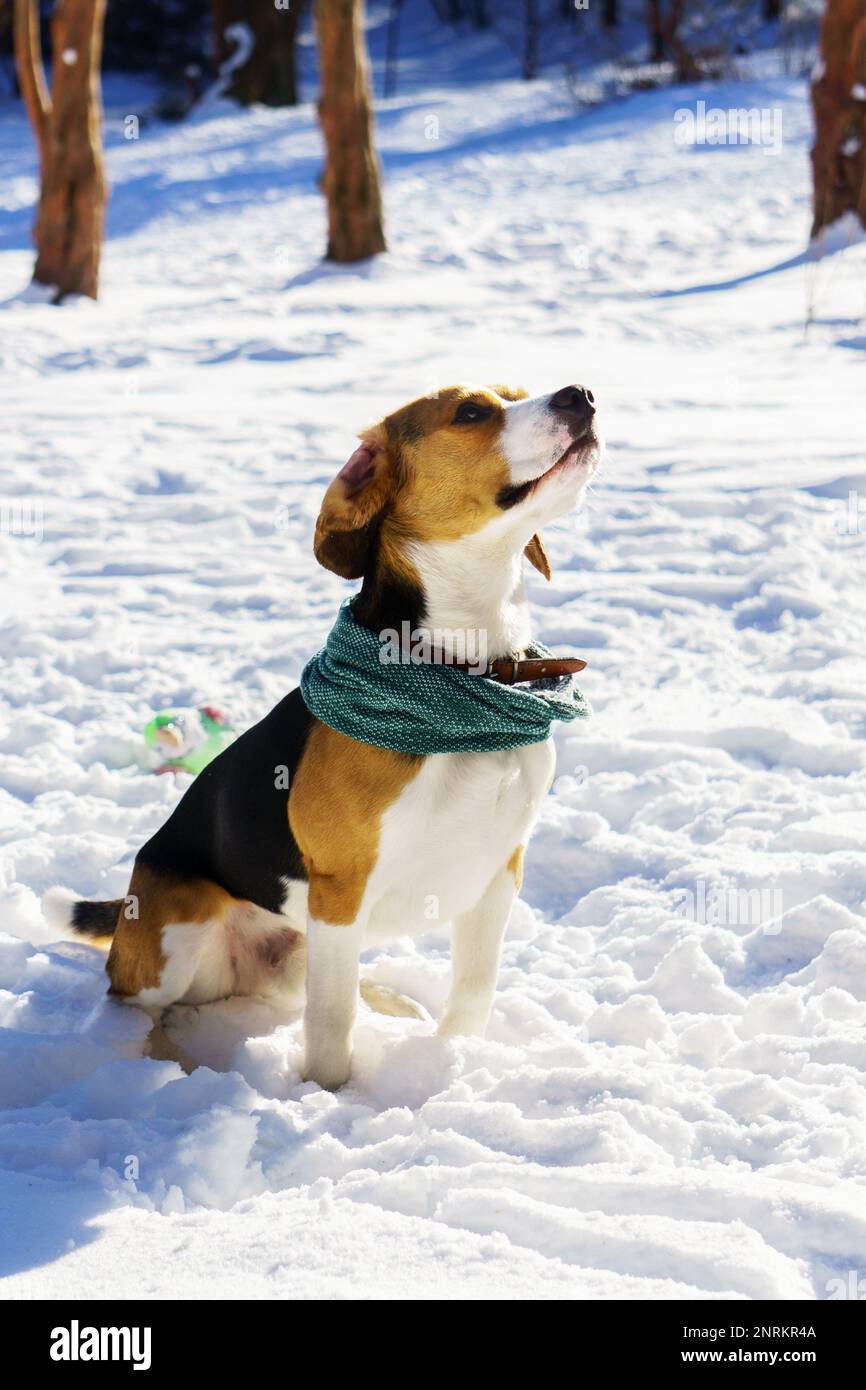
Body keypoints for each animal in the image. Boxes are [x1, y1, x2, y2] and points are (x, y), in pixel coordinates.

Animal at [47, 380, 603, 1084]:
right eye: (471, 412)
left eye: (517, 392)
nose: (581, 393)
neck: (465, 667)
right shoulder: (341, 890)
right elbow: (332, 1024)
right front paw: (327, 1095)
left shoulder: (499, 868)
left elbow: (473, 990)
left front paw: (453, 1061)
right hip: (181, 929)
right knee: (131, 1003)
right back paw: (174, 1065)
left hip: (297, 951)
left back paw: (391, 1000)